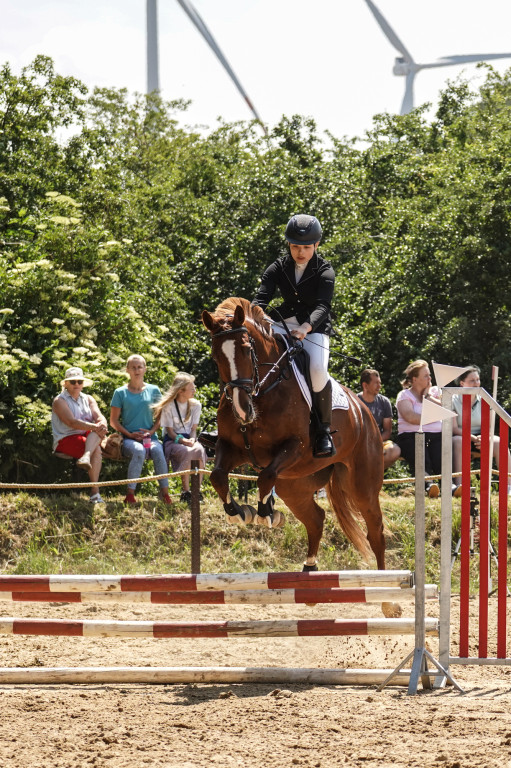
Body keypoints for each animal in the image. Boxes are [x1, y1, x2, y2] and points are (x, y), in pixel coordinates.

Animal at [202, 296, 398, 616]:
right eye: (216, 356)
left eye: (246, 349)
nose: (242, 409)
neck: (263, 389)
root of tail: (365, 412)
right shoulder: (230, 448)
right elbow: (219, 476)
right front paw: (239, 513)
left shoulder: (294, 447)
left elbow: (264, 475)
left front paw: (265, 514)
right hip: (294, 485)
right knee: (316, 519)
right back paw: (309, 575)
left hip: (362, 485)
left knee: (376, 532)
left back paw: (388, 598)